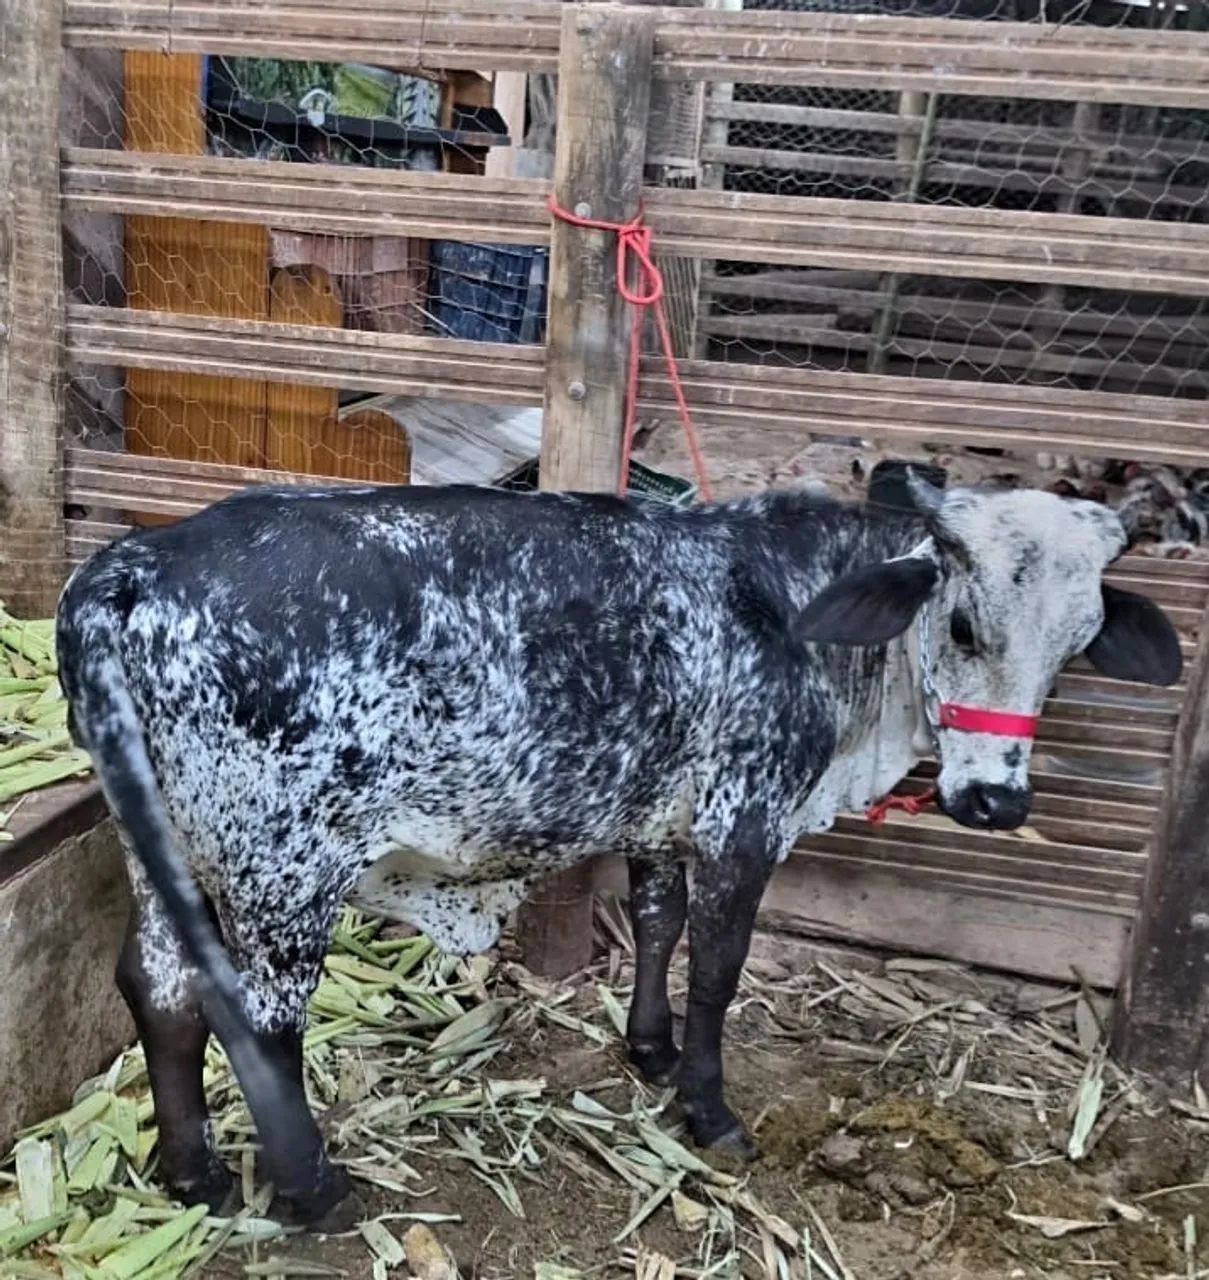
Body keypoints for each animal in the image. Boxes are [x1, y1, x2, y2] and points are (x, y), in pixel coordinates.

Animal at [55, 473, 1181, 1230]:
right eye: (961, 622)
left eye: (1077, 643)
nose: (995, 800)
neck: (804, 607)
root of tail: (133, 565)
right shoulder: (743, 818)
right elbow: (718, 967)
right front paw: (708, 1107)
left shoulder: (661, 823)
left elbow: (656, 923)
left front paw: (649, 1049)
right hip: (285, 869)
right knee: (259, 1019)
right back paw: (310, 1187)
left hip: (167, 848)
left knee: (158, 987)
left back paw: (193, 1172)